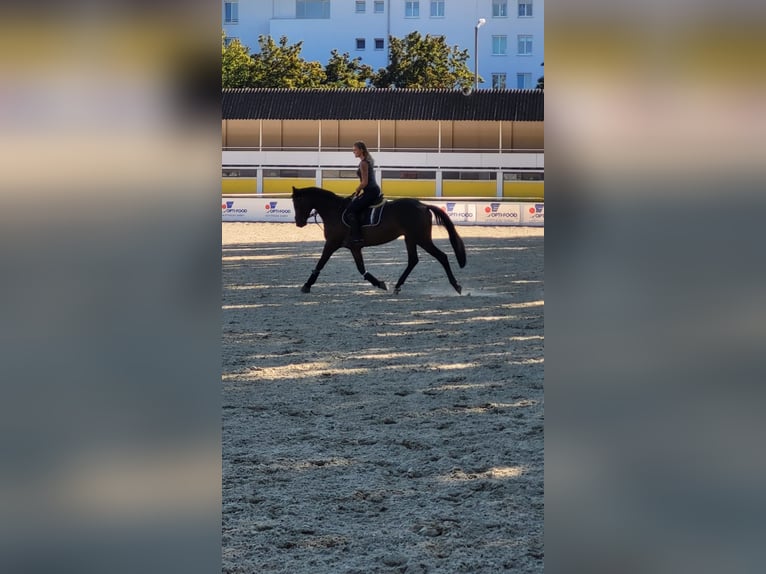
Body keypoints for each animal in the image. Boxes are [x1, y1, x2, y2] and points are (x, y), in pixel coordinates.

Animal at [292, 189, 464, 294]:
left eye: (297, 203)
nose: (298, 222)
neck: (335, 211)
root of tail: (423, 205)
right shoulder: (354, 248)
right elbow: (361, 268)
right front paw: (380, 283)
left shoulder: (332, 243)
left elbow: (320, 263)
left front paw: (307, 285)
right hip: (410, 238)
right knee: (413, 260)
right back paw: (397, 286)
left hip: (422, 238)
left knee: (441, 256)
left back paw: (456, 286)